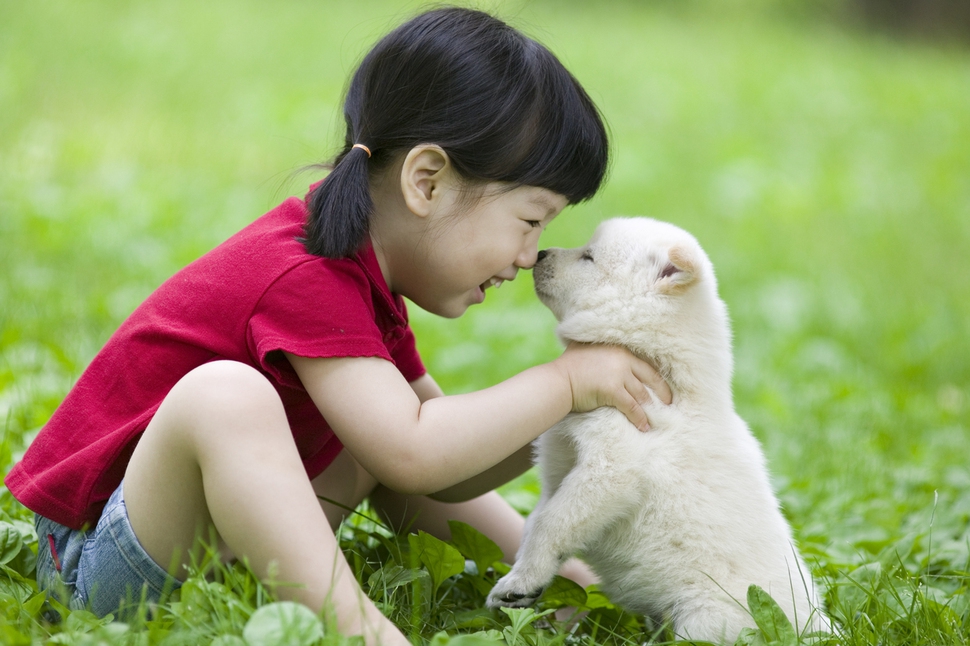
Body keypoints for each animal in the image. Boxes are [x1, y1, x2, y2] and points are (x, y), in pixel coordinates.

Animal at [484, 218, 824, 644]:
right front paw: (523, 578)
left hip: (708, 617)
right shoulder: (560, 464)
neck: (656, 364)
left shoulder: (613, 467)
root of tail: (818, 627)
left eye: (588, 256)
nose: (541, 254)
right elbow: (536, 520)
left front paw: (519, 582)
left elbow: (552, 522)